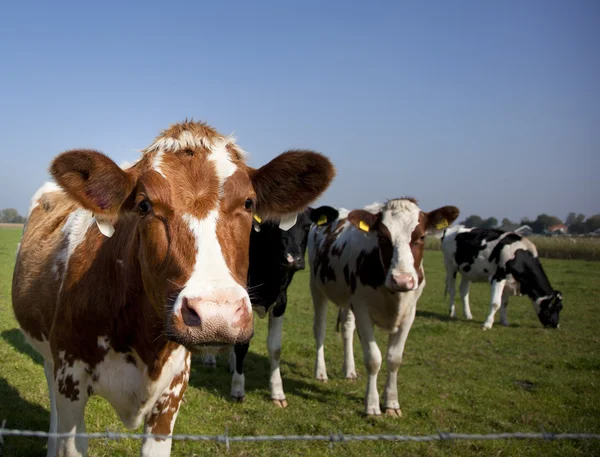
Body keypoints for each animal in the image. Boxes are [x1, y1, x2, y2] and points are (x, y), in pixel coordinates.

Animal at [11, 121, 336, 456]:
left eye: (248, 203)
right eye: (143, 205)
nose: (215, 315)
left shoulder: (173, 391)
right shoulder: (71, 380)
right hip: (51, 359)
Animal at [308, 198, 458, 416]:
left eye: (421, 237)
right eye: (383, 237)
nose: (402, 280)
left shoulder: (409, 314)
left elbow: (394, 358)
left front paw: (392, 403)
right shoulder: (363, 311)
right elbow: (373, 359)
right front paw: (371, 405)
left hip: (348, 300)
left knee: (346, 328)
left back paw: (349, 370)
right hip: (317, 287)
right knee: (319, 329)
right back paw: (320, 372)